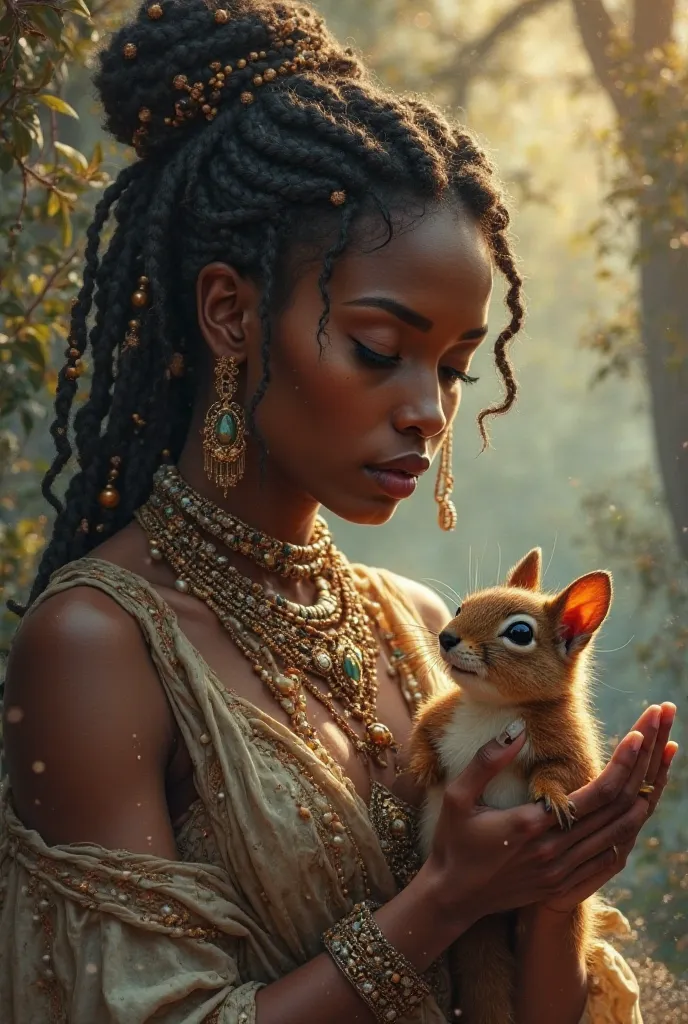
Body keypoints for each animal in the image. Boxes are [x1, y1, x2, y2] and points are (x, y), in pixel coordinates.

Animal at [409, 552, 614, 1024]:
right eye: (462, 606)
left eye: (520, 633)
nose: (447, 636)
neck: (492, 708)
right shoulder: (442, 714)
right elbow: (423, 732)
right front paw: (423, 767)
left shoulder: (570, 747)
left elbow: (564, 773)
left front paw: (553, 795)